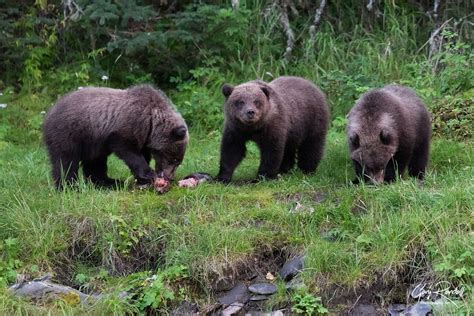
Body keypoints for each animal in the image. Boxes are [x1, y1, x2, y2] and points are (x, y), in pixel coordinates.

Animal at [42, 84, 187, 188]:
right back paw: (69, 186)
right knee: (65, 160)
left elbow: (142, 154)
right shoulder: (123, 129)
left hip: (91, 143)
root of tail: (49, 112)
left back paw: (109, 182)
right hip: (70, 133)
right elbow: (129, 151)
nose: (170, 177)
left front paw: (142, 179)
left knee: (95, 163)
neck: (150, 123)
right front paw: (148, 174)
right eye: (174, 159)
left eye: (178, 161)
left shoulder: (143, 138)